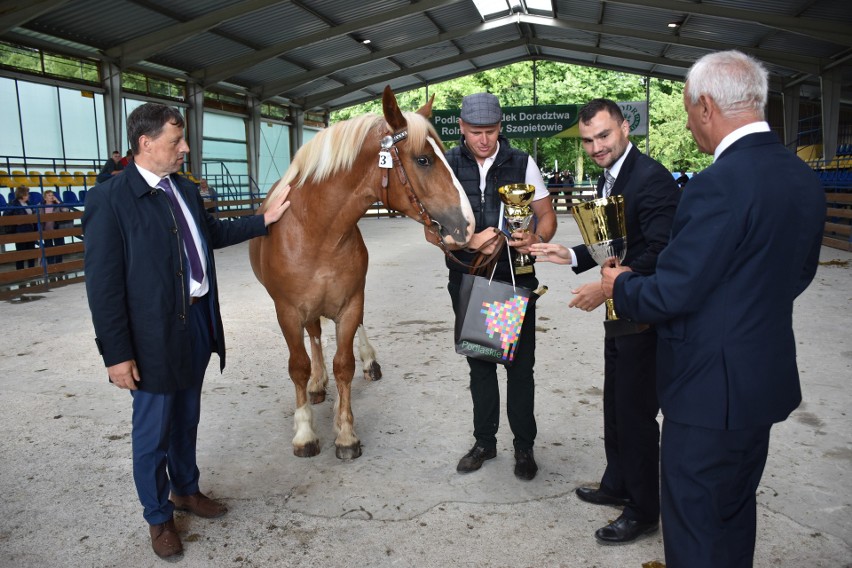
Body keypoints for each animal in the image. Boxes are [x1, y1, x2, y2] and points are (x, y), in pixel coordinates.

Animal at [250, 87, 476, 462]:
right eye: (423, 160)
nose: (467, 225)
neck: (315, 231)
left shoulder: (351, 302)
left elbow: (345, 365)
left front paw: (345, 434)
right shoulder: (288, 312)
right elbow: (298, 365)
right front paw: (305, 432)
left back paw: (368, 362)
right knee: (314, 336)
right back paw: (317, 384)